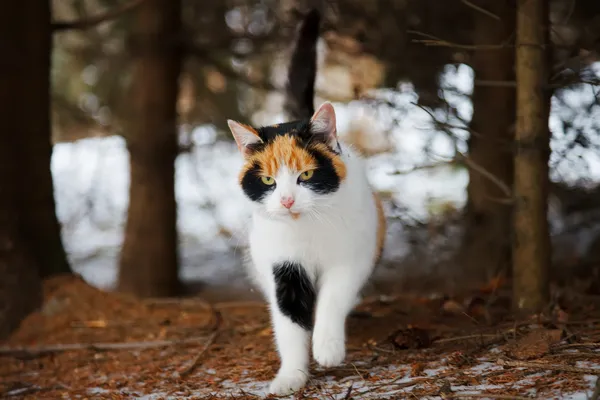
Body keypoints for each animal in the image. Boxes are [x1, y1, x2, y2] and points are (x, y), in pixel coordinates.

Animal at [225, 8, 384, 394]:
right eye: (268, 180)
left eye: (307, 176)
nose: (286, 201)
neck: (307, 228)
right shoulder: (283, 267)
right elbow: (289, 323)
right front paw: (291, 377)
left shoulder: (351, 256)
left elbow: (333, 297)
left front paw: (327, 348)